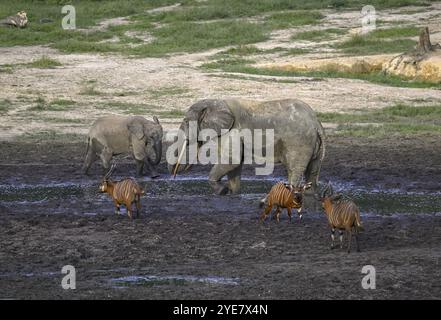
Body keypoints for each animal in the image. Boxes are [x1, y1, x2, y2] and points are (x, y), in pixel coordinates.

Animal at [168, 99, 324, 194]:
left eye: (186, 121)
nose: (173, 176)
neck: (216, 102)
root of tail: (316, 122)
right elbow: (235, 165)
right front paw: (233, 193)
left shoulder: (233, 129)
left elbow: (232, 160)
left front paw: (222, 191)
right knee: (312, 170)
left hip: (299, 141)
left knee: (295, 169)